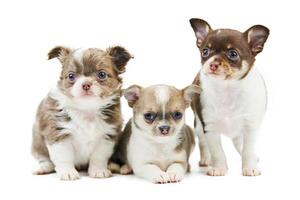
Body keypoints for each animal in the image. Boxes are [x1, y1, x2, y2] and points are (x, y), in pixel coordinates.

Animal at [31, 45, 132, 180]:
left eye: (102, 74)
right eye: (71, 76)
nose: (86, 84)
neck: (86, 110)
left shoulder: (107, 135)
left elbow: (98, 156)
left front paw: (99, 170)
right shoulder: (58, 133)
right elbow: (64, 156)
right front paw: (67, 172)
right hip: (37, 142)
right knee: (44, 158)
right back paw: (44, 167)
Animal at [190, 18, 270, 176]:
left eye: (233, 54)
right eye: (205, 51)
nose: (212, 64)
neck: (227, 88)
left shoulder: (250, 126)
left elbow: (248, 150)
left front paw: (250, 167)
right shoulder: (209, 128)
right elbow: (217, 152)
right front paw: (219, 168)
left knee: (239, 143)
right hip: (198, 125)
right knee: (203, 143)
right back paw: (205, 160)